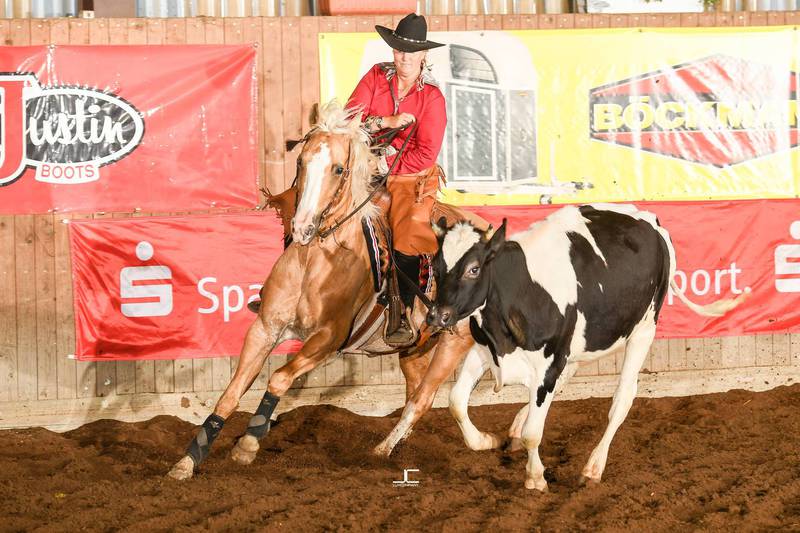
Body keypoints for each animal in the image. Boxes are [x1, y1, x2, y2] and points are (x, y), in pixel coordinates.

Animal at [168, 100, 474, 480]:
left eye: (339, 168)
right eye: (301, 162)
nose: (302, 227)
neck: (315, 260)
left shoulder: (327, 339)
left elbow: (279, 379)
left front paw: (248, 443)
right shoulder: (264, 328)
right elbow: (231, 393)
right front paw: (189, 459)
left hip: (455, 341)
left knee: (423, 398)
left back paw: (381, 450)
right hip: (415, 348)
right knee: (415, 392)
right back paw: (398, 446)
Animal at [420, 204, 748, 491]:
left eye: (473, 269)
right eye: (436, 266)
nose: (437, 316)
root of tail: (648, 219)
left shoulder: (549, 362)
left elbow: (533, 433)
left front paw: (535, 478)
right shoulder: (485, 349)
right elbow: (456, 401)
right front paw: (487, 440)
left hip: (643, 328)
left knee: (622, 400)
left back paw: (593, 468)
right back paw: (515, 429)